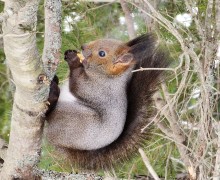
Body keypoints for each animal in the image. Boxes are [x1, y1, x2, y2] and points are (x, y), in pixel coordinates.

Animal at [45, 33, 169, 170]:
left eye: (102, 53)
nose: (83, 47)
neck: (110, 77)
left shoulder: (100, 89)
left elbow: (80, 85)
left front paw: (74, 60)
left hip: (71, 118)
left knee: (49, 115)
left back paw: (52, 97)